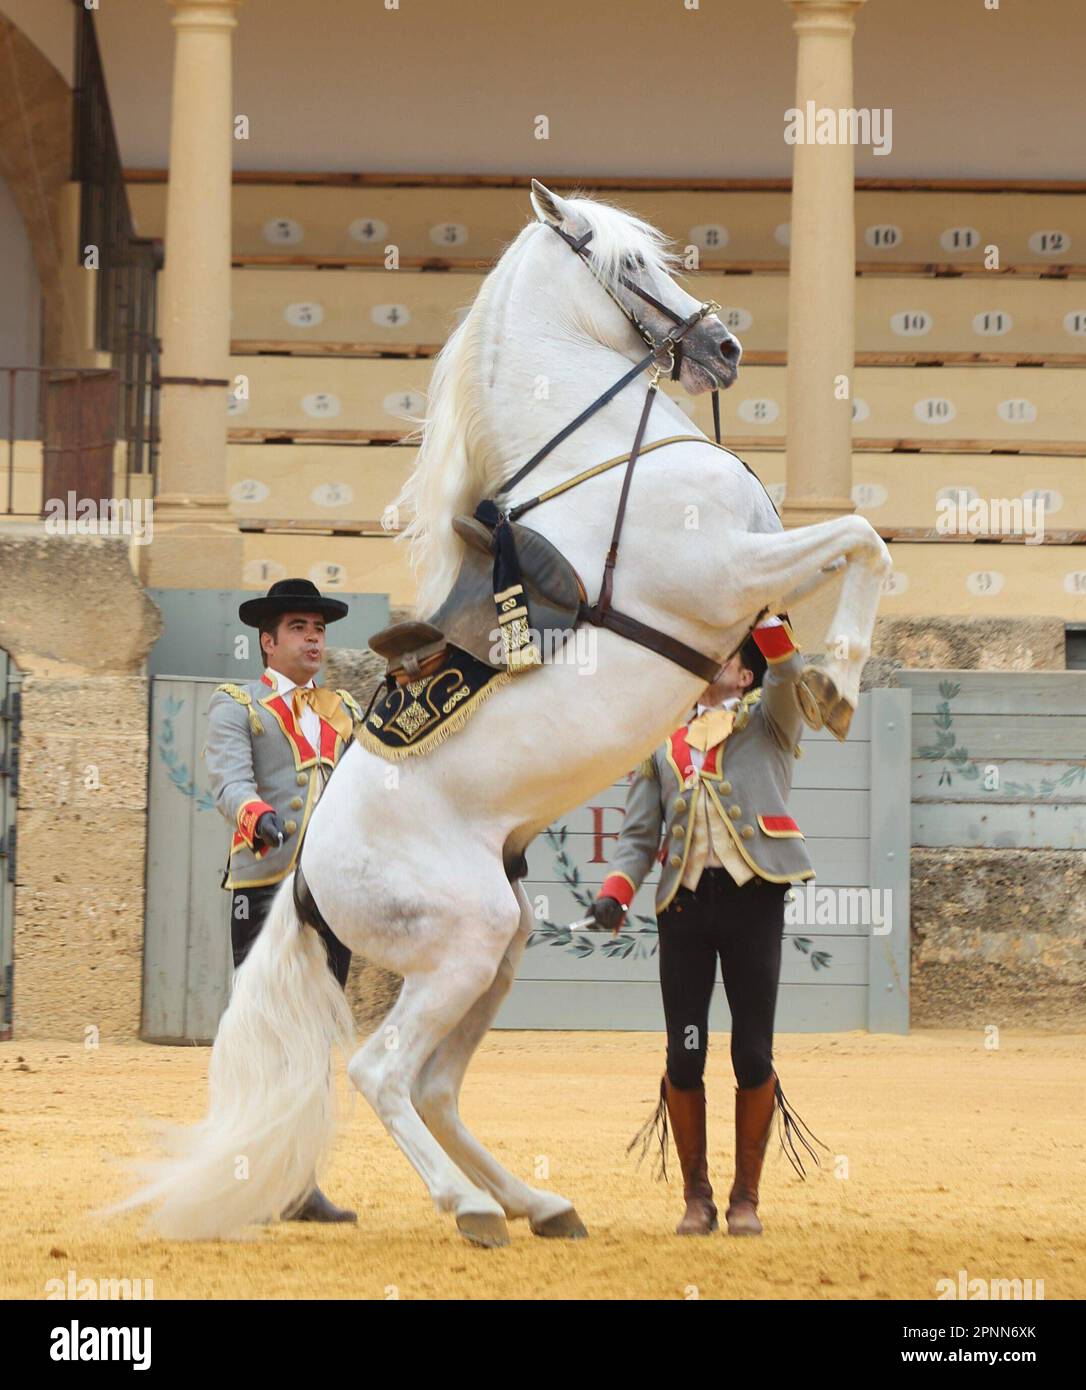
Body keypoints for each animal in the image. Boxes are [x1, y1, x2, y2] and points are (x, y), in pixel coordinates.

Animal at [114, 176, 884, 1251]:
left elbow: (853, 548)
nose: (725, 347)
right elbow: (862, 536)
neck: (607, 459)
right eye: (629, 263)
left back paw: (539, 1204)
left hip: (500, 946)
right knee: (383, 1072)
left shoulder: (751, 585)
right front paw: (840, 680)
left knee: (436, 1086)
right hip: (464, 944)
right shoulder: (728, 571)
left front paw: (819, 679)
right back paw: (474, 1207)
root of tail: (304, 878)